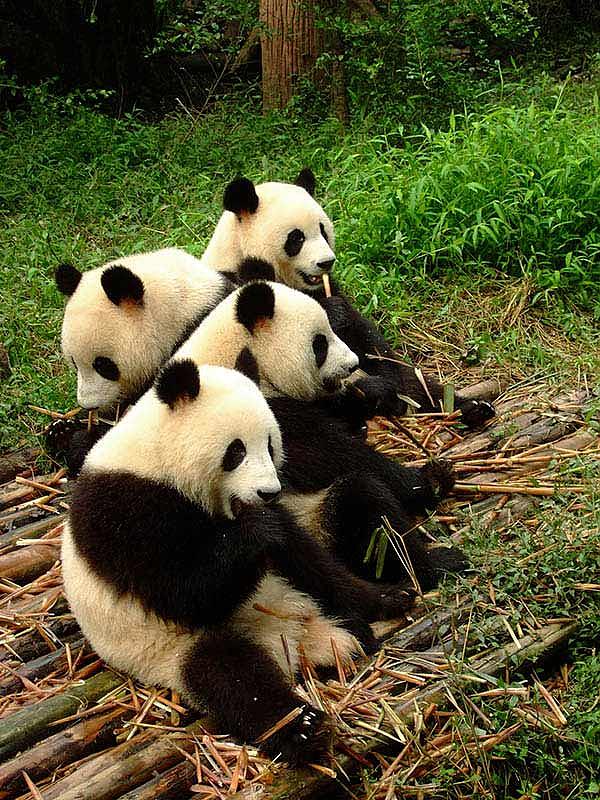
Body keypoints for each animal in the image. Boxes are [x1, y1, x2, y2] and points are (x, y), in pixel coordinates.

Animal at [62, 360, 415, 764]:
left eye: (271, 444)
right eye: (236, 451)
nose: (268, 492)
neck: (156, 456)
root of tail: (296, 641)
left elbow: (303, 554)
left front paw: (380, 595)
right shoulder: (124, 511)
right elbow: (184, 594)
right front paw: (254, 531)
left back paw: (384, 601)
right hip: (171, 650)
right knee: (231, 677)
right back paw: (302, 727)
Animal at [200, 171, 495, 428]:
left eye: (323, 230)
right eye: (296, 238)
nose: (326, 262)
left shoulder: (330, 290)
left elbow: (369, 340)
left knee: (420, 383)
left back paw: (471, 408)